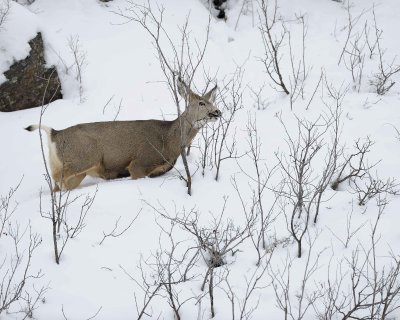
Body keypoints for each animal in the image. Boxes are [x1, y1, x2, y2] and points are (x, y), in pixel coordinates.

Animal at [26, 80, 220, 190]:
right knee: (57, 179)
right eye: (201, 103)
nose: (217, 112)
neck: (168, 141)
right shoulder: (139, 163)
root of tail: (54, 134)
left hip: (76, 169)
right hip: (83, 157)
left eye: (212, 101)